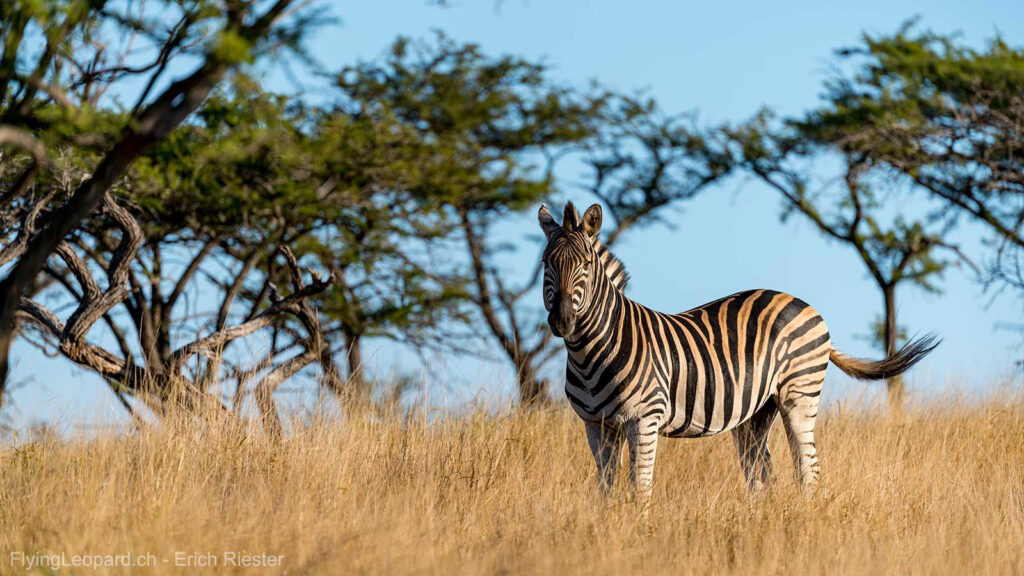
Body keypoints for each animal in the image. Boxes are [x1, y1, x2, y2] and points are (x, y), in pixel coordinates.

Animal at [540, 201, 937, 502]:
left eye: (586, 265)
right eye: (547, 263)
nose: (562, 321)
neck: (592, 353)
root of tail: (804, 304)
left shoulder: (644, 419)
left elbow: (640, 488)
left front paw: (639, 531)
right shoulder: (596, 425)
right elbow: (606, 491)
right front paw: (610, 527)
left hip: (798, 394)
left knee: (807, 467)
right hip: (756, 413)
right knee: (763, 475)